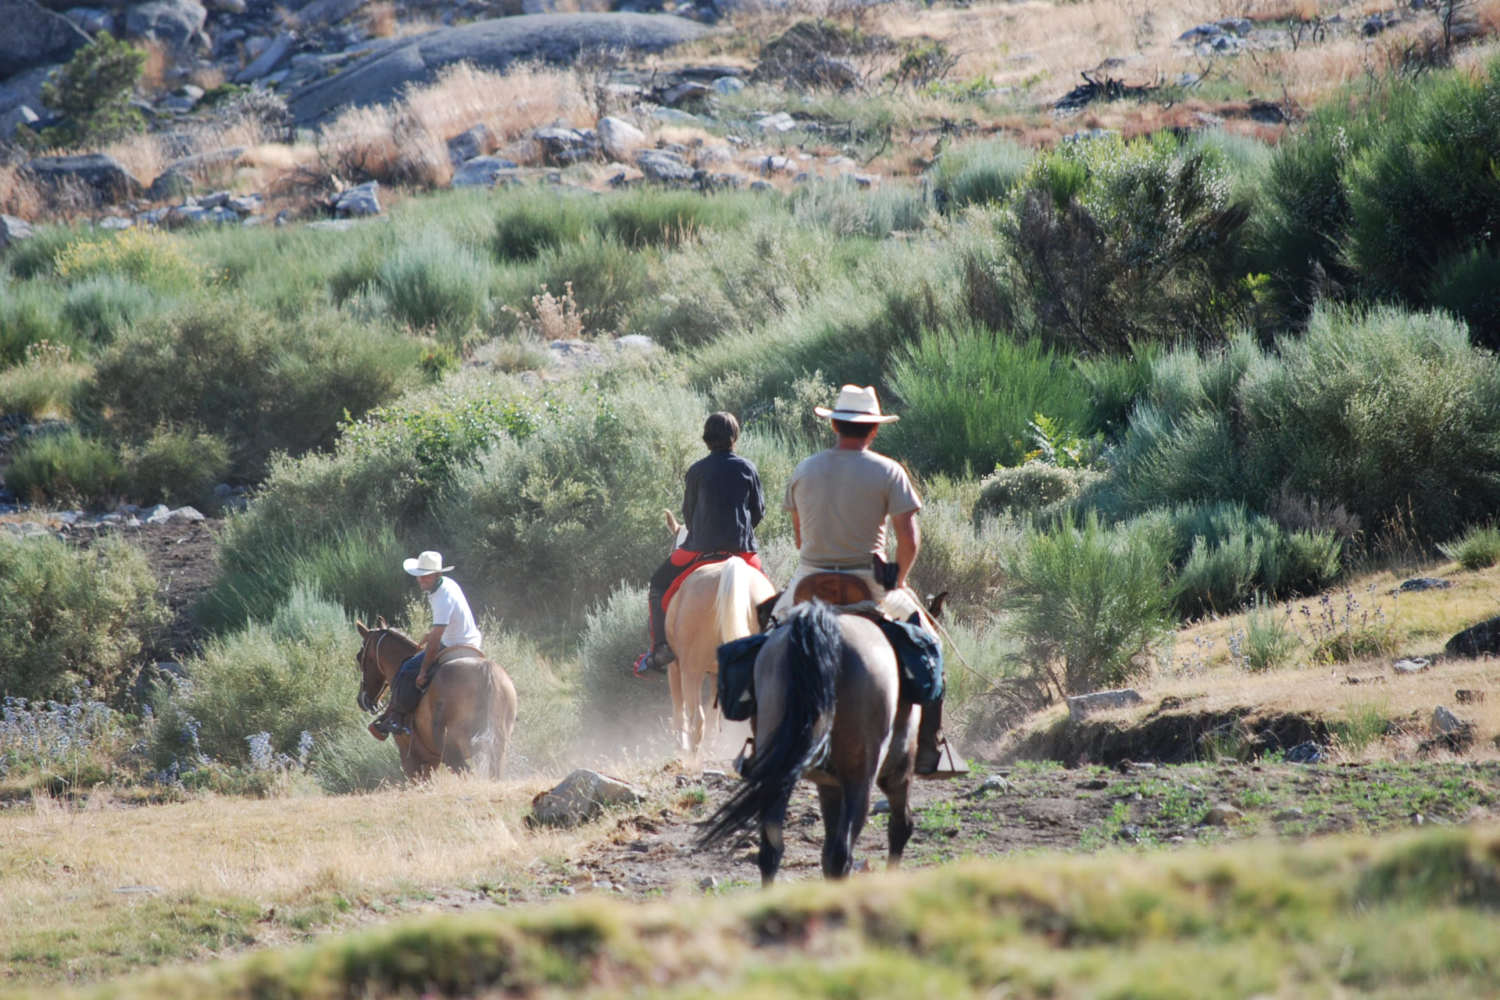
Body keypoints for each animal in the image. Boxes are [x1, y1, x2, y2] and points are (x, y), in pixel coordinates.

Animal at [354, 617, 519, 779]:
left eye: (359, 656)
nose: (361, 699)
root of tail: (486, 670)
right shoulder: (431, 761)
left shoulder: (410, 757)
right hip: (494, 749)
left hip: (451, 750)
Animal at [666, 512, 774, 755]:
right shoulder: (717, 674)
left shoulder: (674, 666)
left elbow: (679, 713)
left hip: (691, 670)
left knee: (696, 720)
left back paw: (691, 759)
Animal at [696, 599, 918, 887]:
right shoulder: (897, 773)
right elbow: (900, 827)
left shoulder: (829, 786)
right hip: (861, 778)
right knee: (843, 852)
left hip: (780, 776)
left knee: (772, 848)